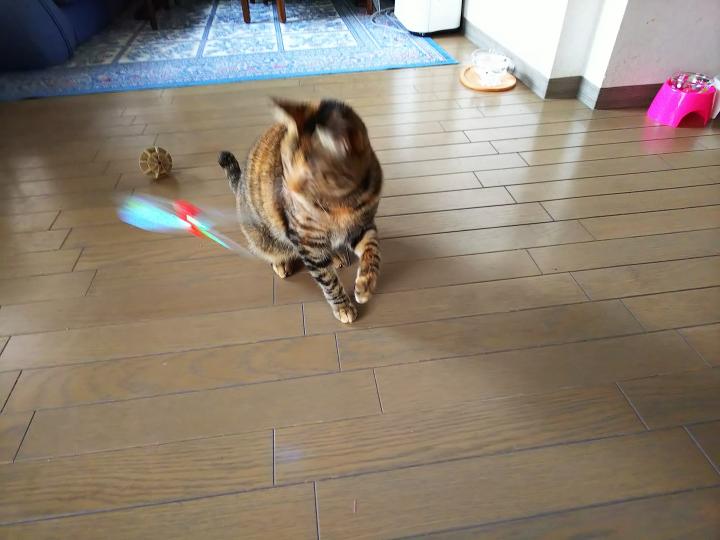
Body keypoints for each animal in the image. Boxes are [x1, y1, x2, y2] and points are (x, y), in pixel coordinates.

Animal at [218, 98, 382, 323]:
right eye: (286, 165)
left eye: (312, 175)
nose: (289, 189)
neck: (342, 203)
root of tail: (240, 184)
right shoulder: (306, 240)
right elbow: (329, 281)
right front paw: (343, 307)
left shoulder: (362, 225)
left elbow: (372, 249)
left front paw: (366, 285)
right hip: (265, 239)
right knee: (273, 251)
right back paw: (281, 264)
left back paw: (336, 255)